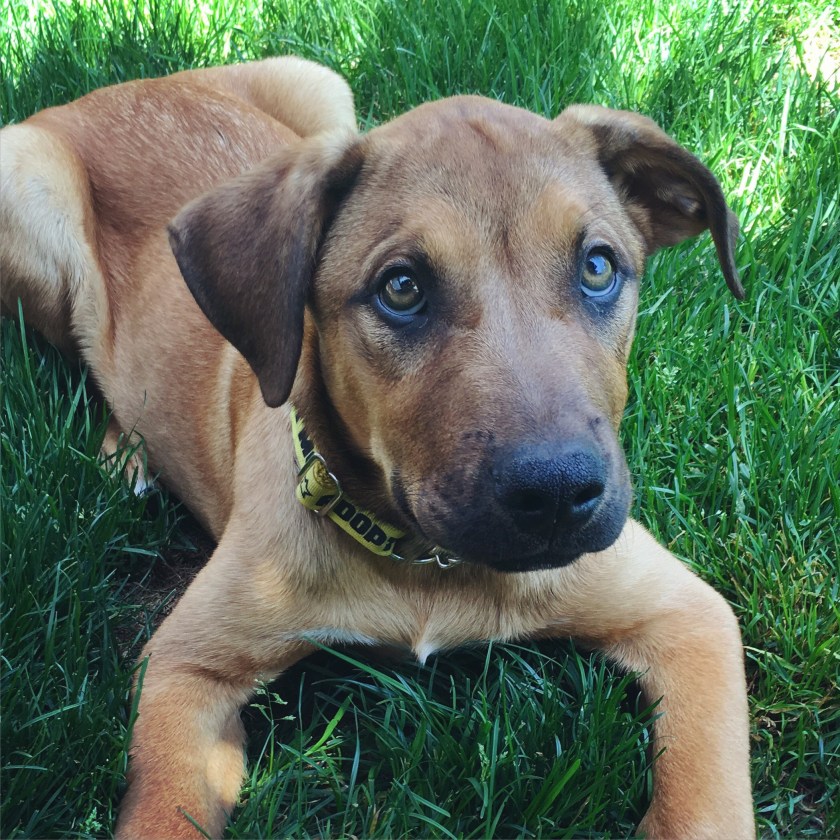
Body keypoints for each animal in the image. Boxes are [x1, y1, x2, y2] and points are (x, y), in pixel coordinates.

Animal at [1, 57, 754, 838]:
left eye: (599, 267)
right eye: (401, 288)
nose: (557, 494)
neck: (422, 564)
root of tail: (125, 87)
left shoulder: (688, 616)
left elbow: (707, 804)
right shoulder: (183, 667)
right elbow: (163, 811)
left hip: (320, 86)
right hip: (26, 197)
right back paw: (127, 453)